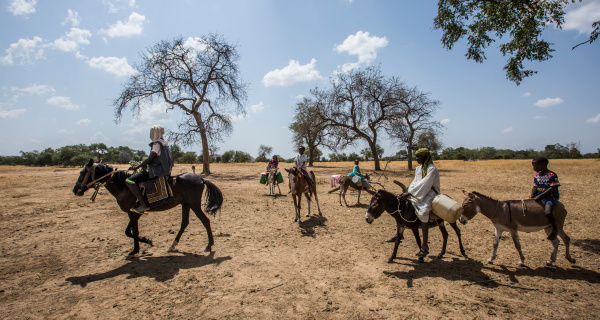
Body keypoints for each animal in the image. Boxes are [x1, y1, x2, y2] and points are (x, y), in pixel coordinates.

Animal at [72, 159, 223, 258]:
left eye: (83, 172)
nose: (75, 190)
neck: (123, 186)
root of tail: (201, 179)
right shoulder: (135, 212)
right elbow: (128, 231)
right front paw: (147, 241)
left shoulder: (133, 213)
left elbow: (133, 232)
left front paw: (135, 251)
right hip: (186, 204)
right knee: (184, 223)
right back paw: (173, 245)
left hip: (194, 204)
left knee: (205, 221)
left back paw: (209, 245)